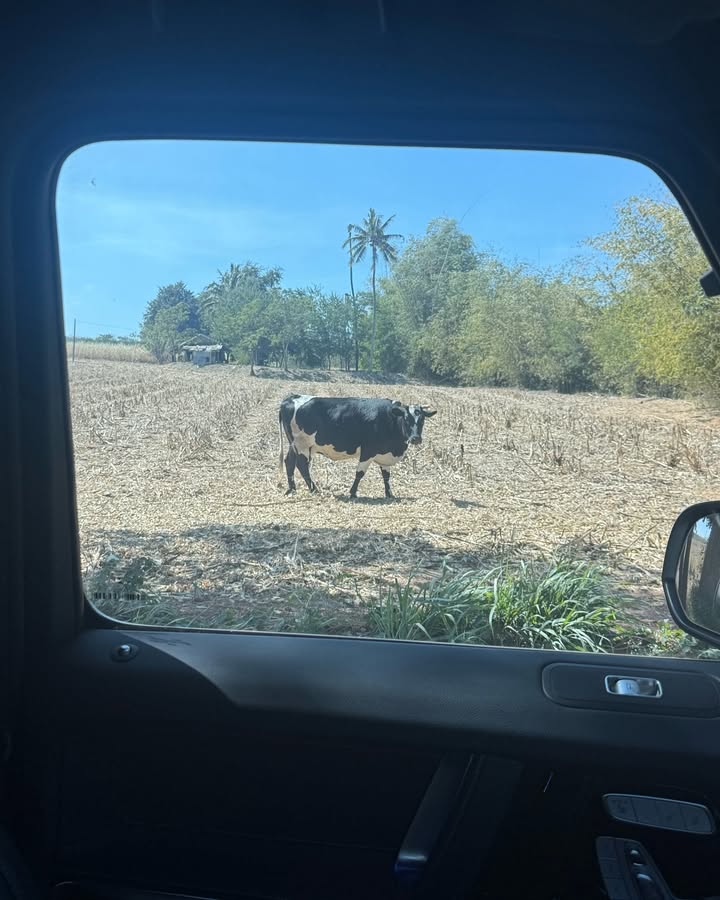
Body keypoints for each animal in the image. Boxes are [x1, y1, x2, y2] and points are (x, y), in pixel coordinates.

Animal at [278, 394, 436, 500]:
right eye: (406, 419)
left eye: (422, 420)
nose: (416, 438)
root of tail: (291, 398)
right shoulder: (368, 451)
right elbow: (359, 473)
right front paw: (353, 493)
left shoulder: (385, 455)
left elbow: (386, 476)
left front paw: (389, 494)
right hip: (303, 445)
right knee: (302, 465)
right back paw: (313, 489)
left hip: (294, 445)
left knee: (289, 462)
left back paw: (292, 489)